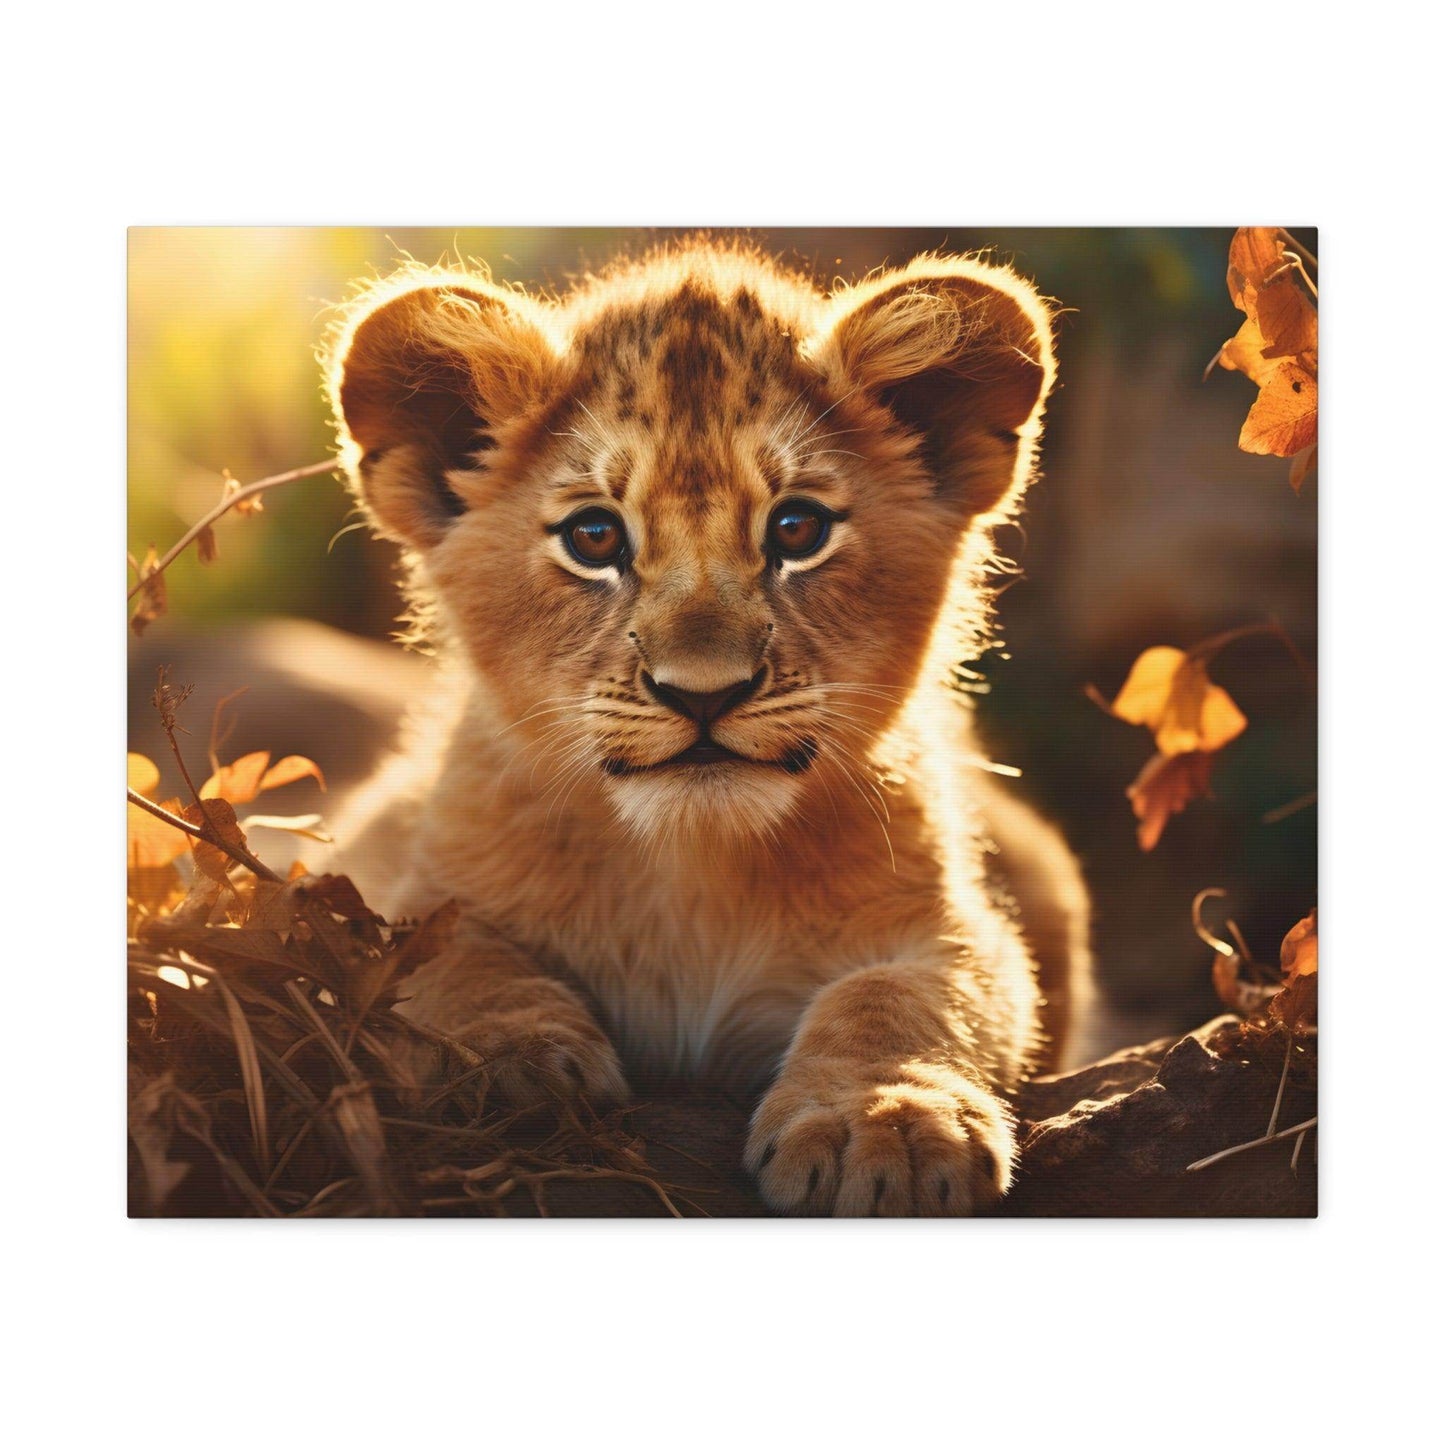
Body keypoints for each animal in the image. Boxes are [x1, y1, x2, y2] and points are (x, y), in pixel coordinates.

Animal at [321, 239, 1092, 1216]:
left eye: (796, 528)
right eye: (594, 537)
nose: (702, 693)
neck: (689, 871)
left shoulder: (954, 922)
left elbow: (905, 993)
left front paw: (884, 1120)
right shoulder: (388, 864)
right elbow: (442, 950)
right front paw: (501, 1059)